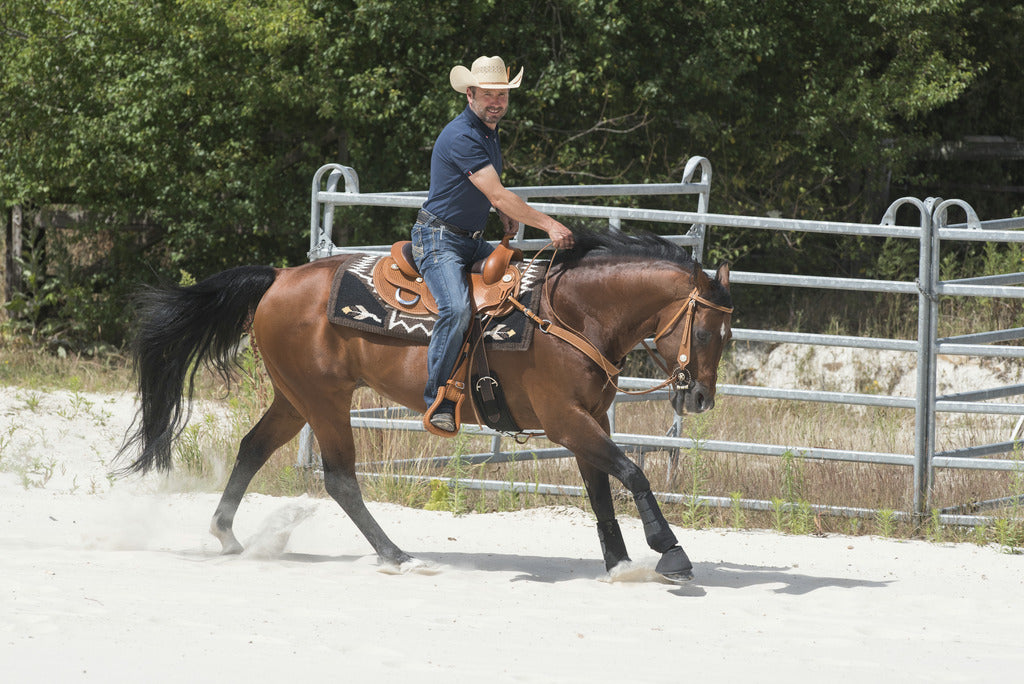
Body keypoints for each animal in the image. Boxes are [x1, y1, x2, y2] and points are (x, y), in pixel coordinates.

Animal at [117, 231, 729, 581]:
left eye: (728, 332)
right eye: (705, 330)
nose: (701, 398)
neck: (571, 314)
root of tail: (279, 276)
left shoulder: (589, 419)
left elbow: (601, 490)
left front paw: (619, 564)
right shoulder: (566, 421)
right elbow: (631, 472)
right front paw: (670, 552)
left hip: (295, 398)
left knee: (252, 448)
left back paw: (228, 535)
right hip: (324, 400)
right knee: (340, 478)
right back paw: (397, 556)